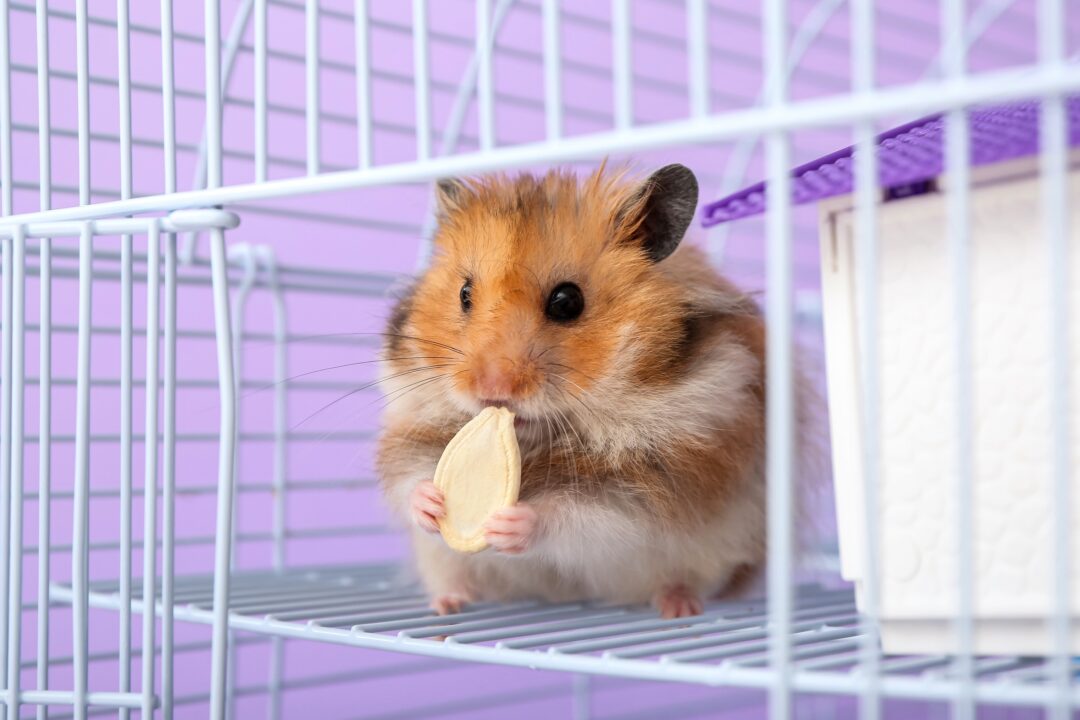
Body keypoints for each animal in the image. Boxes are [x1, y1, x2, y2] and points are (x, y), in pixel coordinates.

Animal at [376, 163, 771, 619]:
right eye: (465, 294)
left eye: (567, 301)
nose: (491, 390)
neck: (536, 439)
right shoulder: (409, 435)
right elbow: (409, 479)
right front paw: (430, 501)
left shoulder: (654, 479)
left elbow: (578, 515)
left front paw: (513, 523)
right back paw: (447, 604)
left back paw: (679, 607)